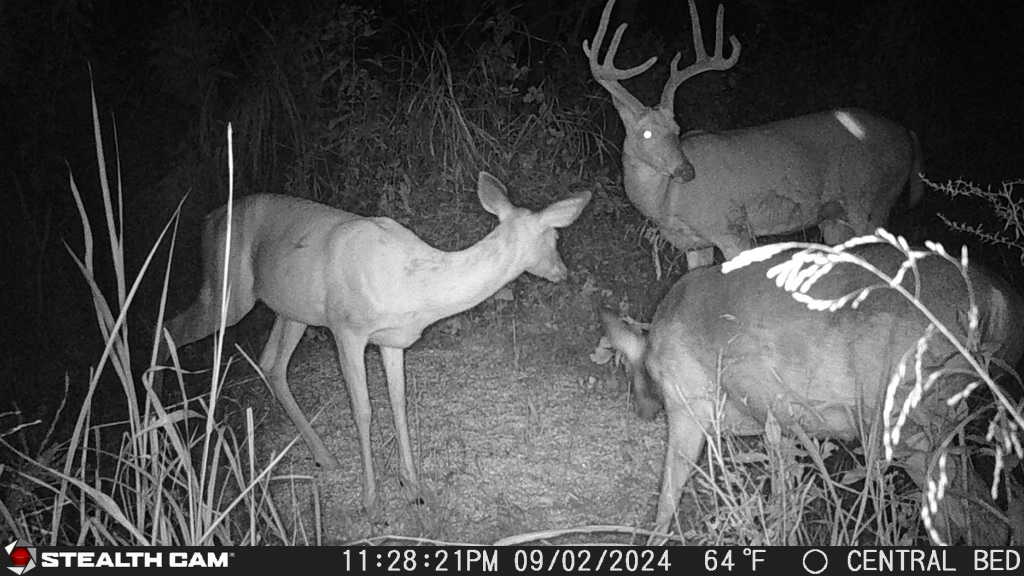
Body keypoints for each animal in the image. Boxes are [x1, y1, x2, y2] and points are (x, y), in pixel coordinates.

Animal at [163, 172, 591, 510]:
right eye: (555, 236)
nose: (563, 272)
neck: (415, 287)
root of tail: (209, 218)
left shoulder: (393, 340)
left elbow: (399, 403)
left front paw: (413, 487)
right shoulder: (347, 329)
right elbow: (364, 410)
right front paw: (371, 500)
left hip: (292, 308)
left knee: (272, 365)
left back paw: (324, 456)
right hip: (227, 289)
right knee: (172, 327)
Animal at [584, 0, 922, 270]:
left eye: (677, 129)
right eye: (646, 133)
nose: (686, 170)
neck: (669, 202)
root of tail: (907, 134)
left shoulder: (732, 229)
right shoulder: (696, 243)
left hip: (873, 199)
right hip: (834, 218)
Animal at [602, 241, 1024, 544]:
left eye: (630, 372)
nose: (641, 409)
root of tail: (997, 301)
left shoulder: (691, 402)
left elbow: (669, 491)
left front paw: (653, 541)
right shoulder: (778, 418)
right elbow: (783, 491)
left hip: (911, 423)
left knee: (977, 513)